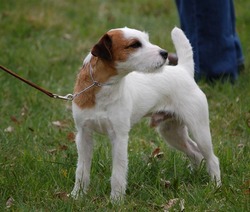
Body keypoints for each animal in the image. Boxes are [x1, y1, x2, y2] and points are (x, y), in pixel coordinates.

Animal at [70, 26, 221, 200]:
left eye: (146, 40)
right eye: (135, 44)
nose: (165, 53)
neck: (102, 87)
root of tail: (183, 70)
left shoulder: (119, 136)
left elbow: (118, 173)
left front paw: (116, 200)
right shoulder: (84, 135)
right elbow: (81, 170)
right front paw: (77, 195)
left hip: (199, 130)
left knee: (212, 159)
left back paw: (216, 186)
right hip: (172, 132)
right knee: (195, 153)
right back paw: (194, 177)